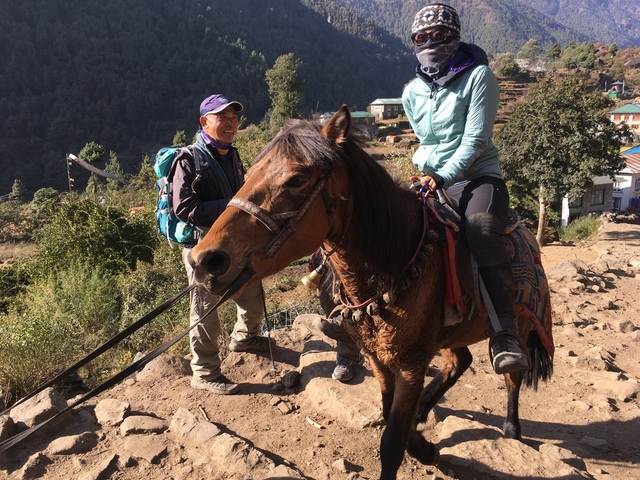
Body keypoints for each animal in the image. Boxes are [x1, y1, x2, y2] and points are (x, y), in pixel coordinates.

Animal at [188, 106, 552, 480]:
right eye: (249, 174)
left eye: (297, 179)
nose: (205, 260)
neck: (396, 264)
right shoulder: (379, 358)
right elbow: (391, 416)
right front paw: (425, 446)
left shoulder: (412, 364)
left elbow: (392, 441)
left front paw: (419, 444)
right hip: (452, 333)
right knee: (458, 362)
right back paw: (424, 412)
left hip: (519, 326)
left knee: (512, 375)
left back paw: (511, 428)